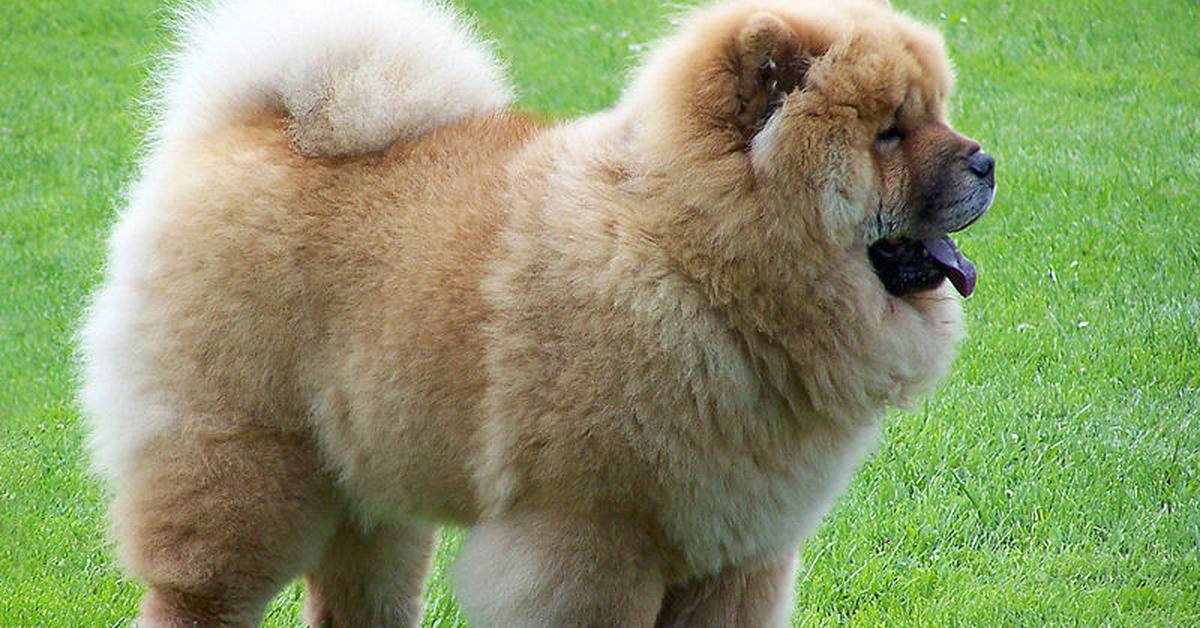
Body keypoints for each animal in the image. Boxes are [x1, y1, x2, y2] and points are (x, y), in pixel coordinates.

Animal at [82, 0, 993, 624]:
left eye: (937, 113)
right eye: (889, 133)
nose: (985, 160)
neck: (688, 257)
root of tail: (252, 127)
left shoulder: (740, 551)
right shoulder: (591, 534)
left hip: (371, 480)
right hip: (241, 461)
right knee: (199, 592)